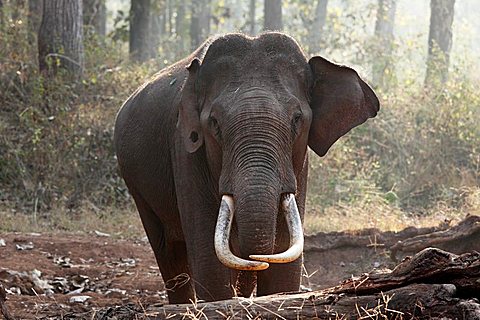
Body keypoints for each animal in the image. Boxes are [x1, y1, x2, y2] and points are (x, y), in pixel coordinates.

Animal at [113, 32, 378, 304]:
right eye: (214, 123)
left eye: (297, 119)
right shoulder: (185, 151)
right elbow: (209, 260)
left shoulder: (300, 165)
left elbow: (284, 260)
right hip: (136, 185)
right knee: (168, 253)